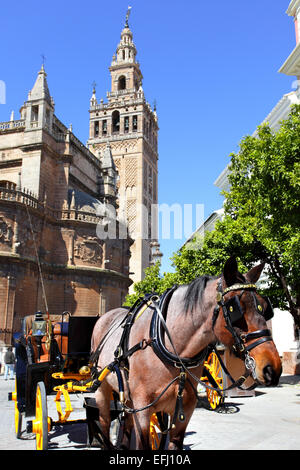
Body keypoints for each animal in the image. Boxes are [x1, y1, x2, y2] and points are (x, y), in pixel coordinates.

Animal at [90, 258, 282, 450]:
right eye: (235, 308)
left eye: (265, 307)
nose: (272, 368)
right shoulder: (143, 410)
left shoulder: (184, 412)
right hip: (103, 389)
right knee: (104, 422)